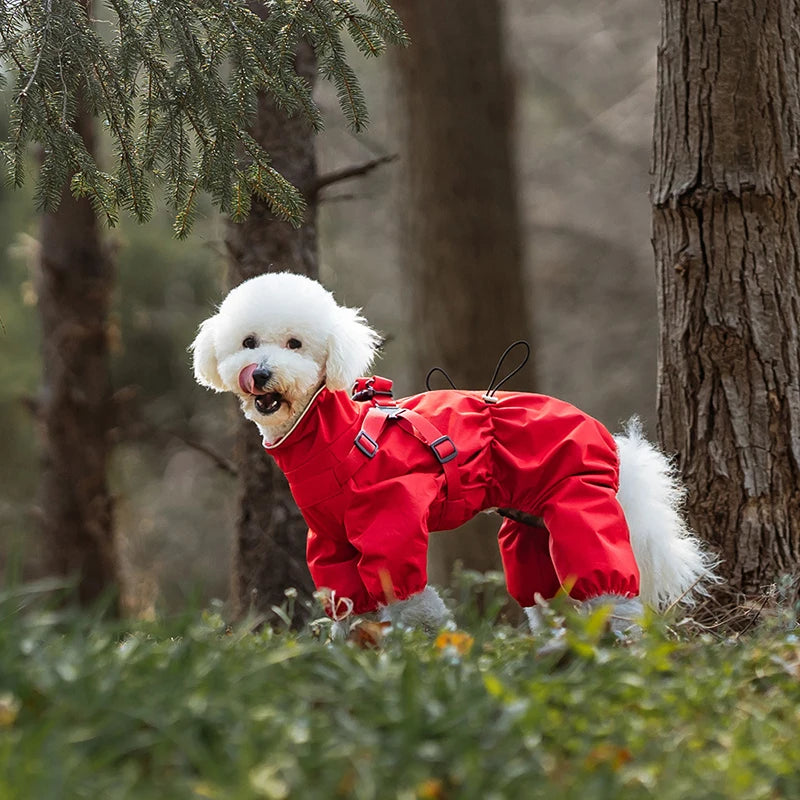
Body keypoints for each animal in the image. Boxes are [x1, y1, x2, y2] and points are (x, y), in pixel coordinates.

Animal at [191, 272, 716, 636]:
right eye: (248, 342)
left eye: (295, 343)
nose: (260, 374)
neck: (331, 435)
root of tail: (612, 440)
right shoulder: (330, 541)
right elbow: (347, 605)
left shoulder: (392, 521)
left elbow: (410, 599)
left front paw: (429, 647)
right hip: (528, 531)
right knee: (544, 598)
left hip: (578, 506)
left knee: (611, 593)